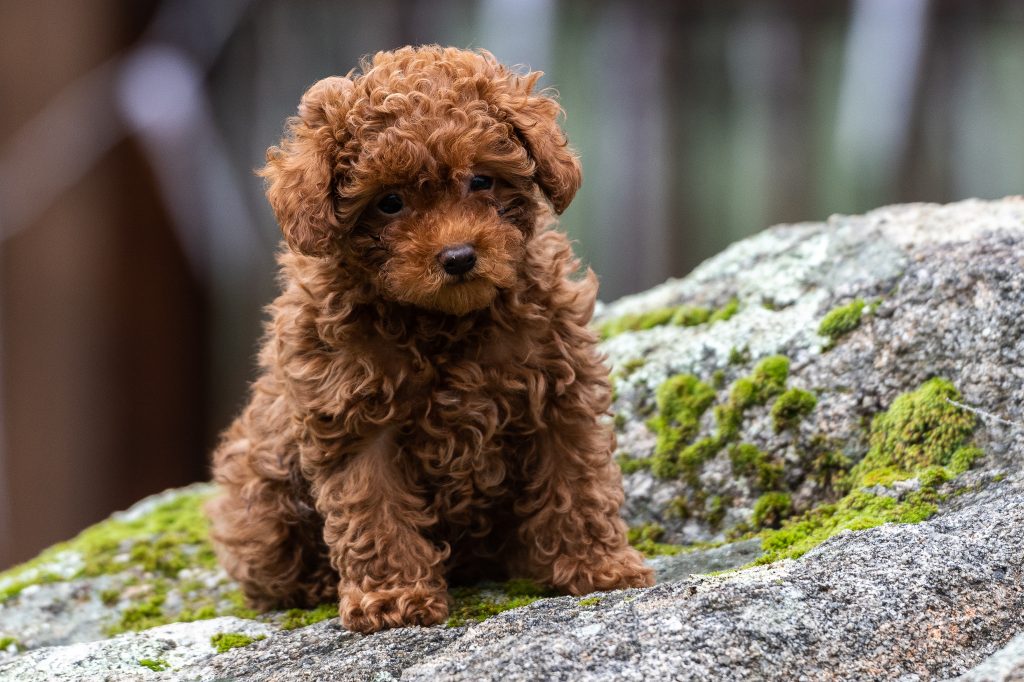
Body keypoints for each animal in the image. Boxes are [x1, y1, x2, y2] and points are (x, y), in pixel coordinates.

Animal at [206, 46, 651, 630]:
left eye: (482, 180)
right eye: (389, 202)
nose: (459, 257)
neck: (442, 322)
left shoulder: (559, 390)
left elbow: (576, 483)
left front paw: (598, 565)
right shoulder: (352, 418)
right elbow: (373, 509)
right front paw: (393, 598)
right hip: (258, 490)